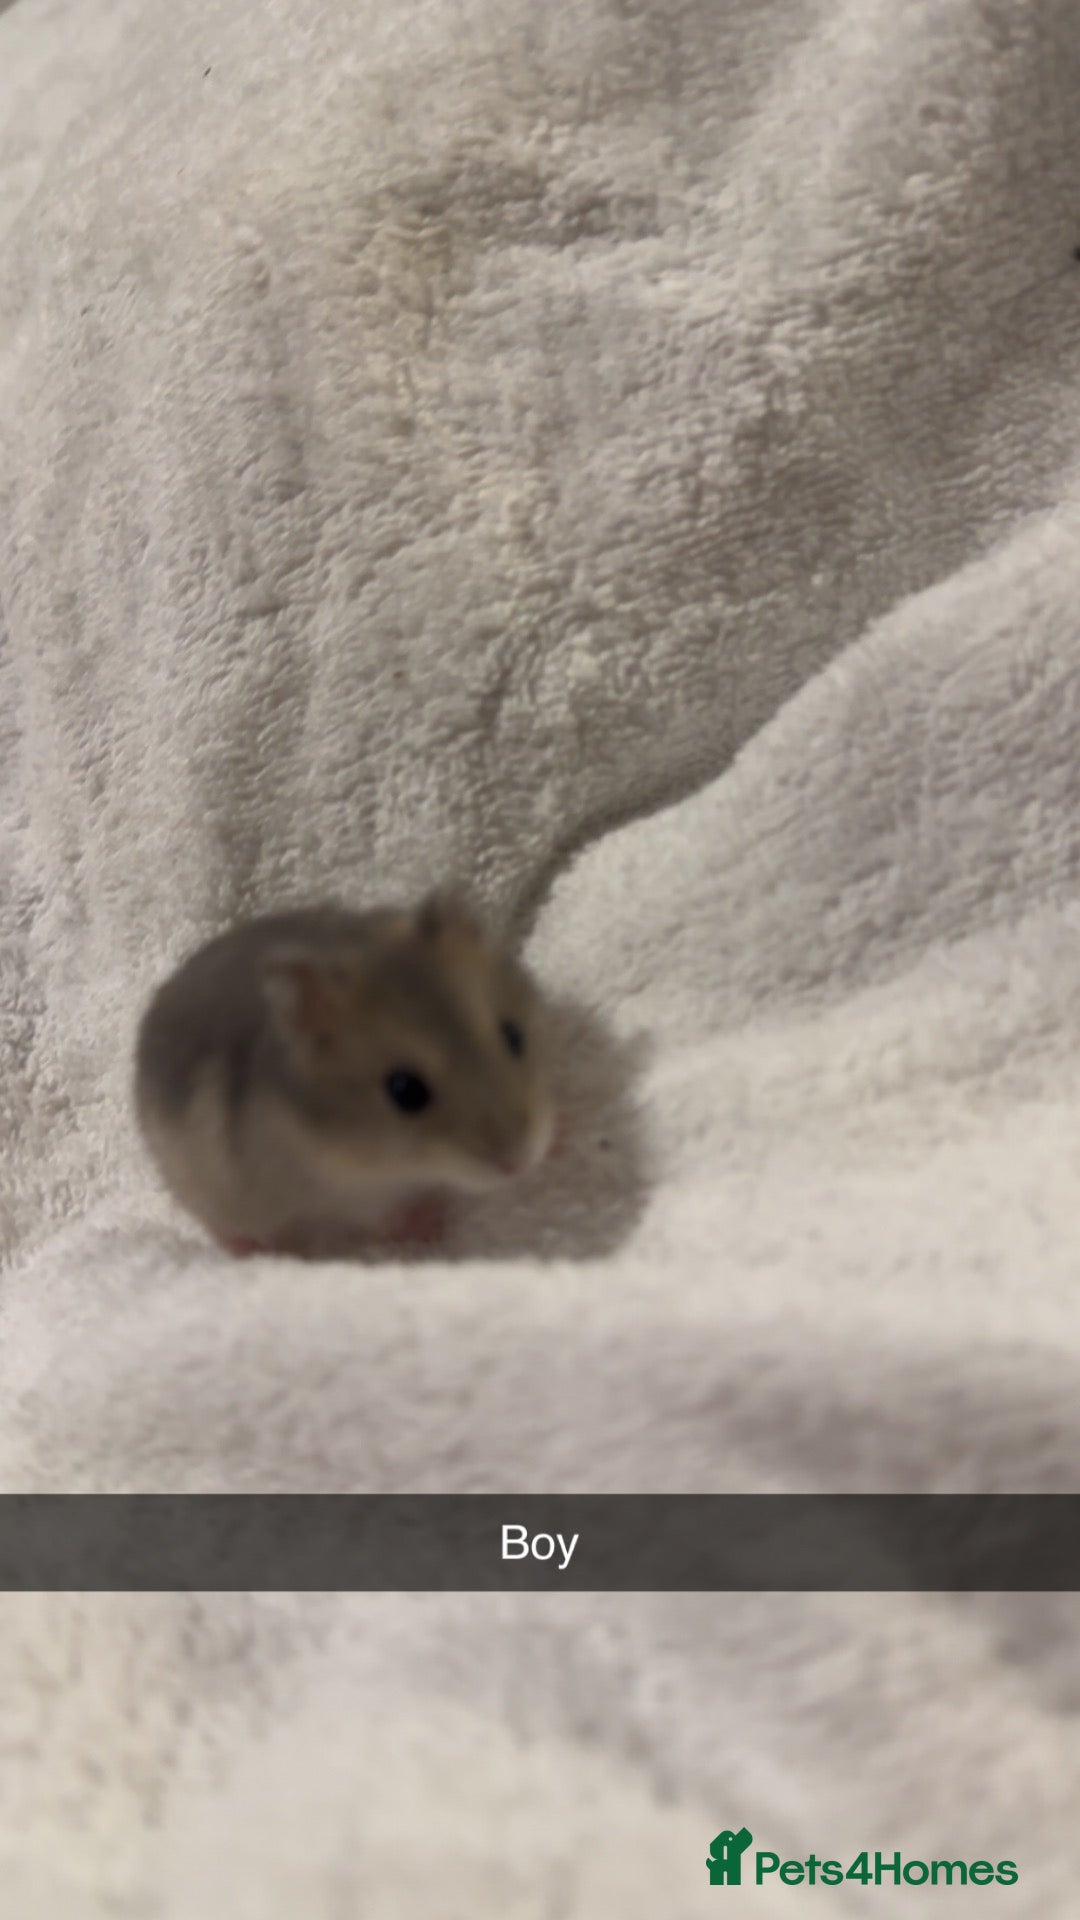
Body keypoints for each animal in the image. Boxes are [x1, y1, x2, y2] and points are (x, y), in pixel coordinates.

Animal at [134, 892, 557, 1256]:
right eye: (405, 1090)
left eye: (514, 1035)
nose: (518, 1164)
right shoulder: (350, 1197)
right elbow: (387, 1217)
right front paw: (432, 1224)